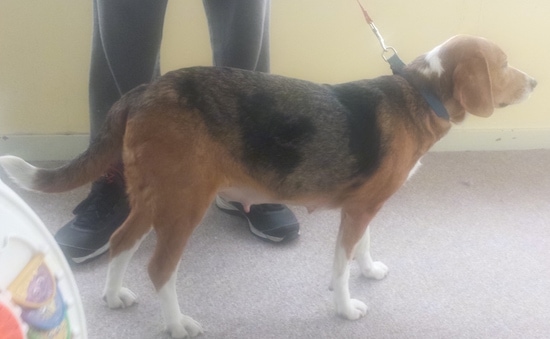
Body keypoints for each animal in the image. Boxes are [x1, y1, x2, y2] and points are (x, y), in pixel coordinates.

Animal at [0, 34, 536, 338]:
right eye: (504, 64)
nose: (533, 83)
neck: (417, 93)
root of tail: (144, 90)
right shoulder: (357, 211)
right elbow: (341, 267)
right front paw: (345, 307)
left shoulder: (367, 206)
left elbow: (361, 249)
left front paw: (369, 269)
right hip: (184, 204)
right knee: (158, 267)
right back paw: (176, 325)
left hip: (154, 197)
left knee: (120, 241)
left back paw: (114, 296)